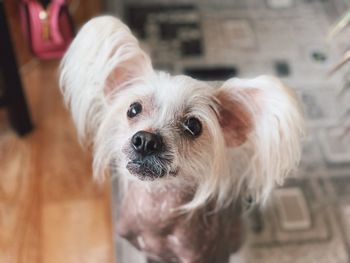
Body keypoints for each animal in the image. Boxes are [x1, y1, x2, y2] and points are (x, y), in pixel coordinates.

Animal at [59, 16, 304, 263]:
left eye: (194, 126)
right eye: (133, 109)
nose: (146, 140)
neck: (155, 210)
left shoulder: (208, 254)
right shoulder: (144, 252)